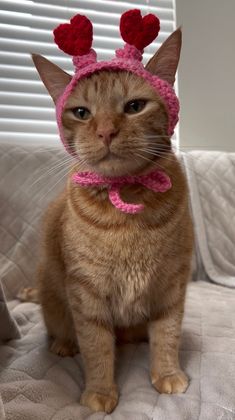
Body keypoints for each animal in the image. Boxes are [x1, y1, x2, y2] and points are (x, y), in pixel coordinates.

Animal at [33, 27, 195, 412]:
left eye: (134, 107)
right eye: (81, 112)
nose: (106, 132)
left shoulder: (172, 284)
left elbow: (167, 333)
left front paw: (167, 372)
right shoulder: (86, 294)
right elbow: (96, 346)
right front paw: (101, 390)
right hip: (54, 298)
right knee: (63, 330)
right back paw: (64, 344)